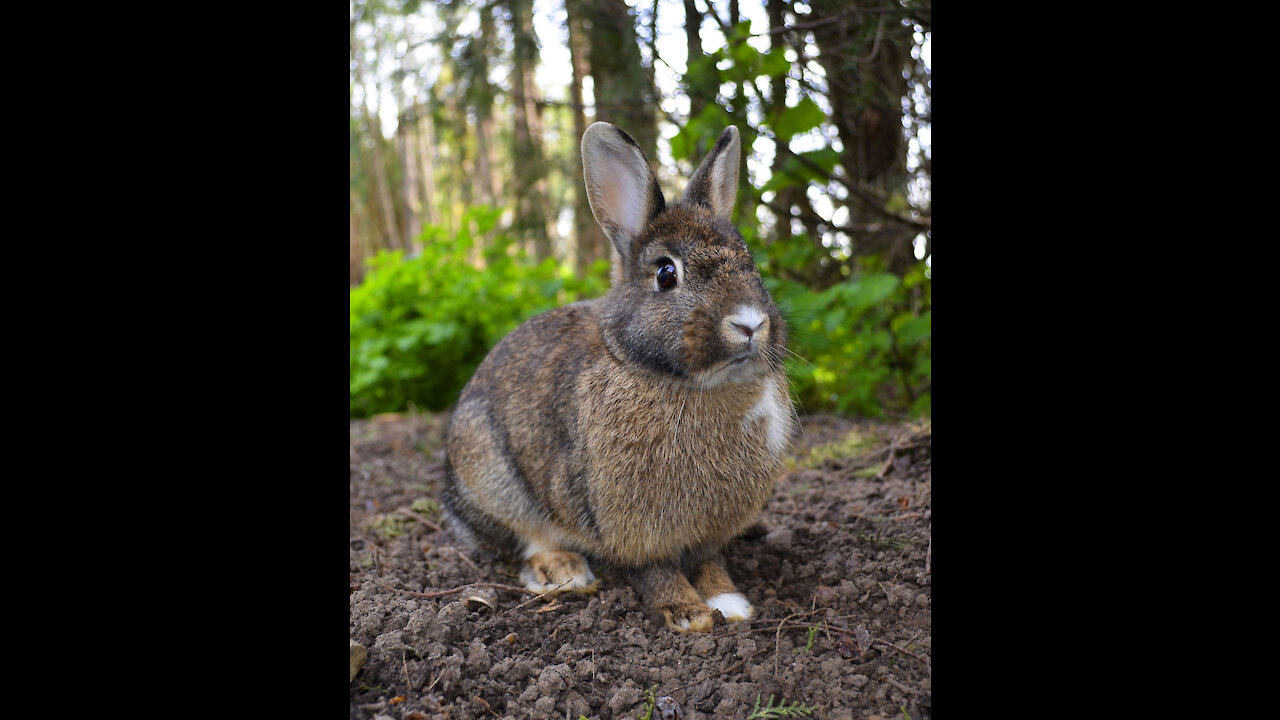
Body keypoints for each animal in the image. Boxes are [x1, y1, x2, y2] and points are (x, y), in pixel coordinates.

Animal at [445, 120, 793, 630]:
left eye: (752, 265)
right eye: (666, 274)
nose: (749, 323)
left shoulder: (709, 533)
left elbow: (709, 562)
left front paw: (729, 602)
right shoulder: (630, 527)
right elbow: (655, 570)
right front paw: (688, 613)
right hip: (491, 475)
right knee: (525, 540)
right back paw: (564, 571)